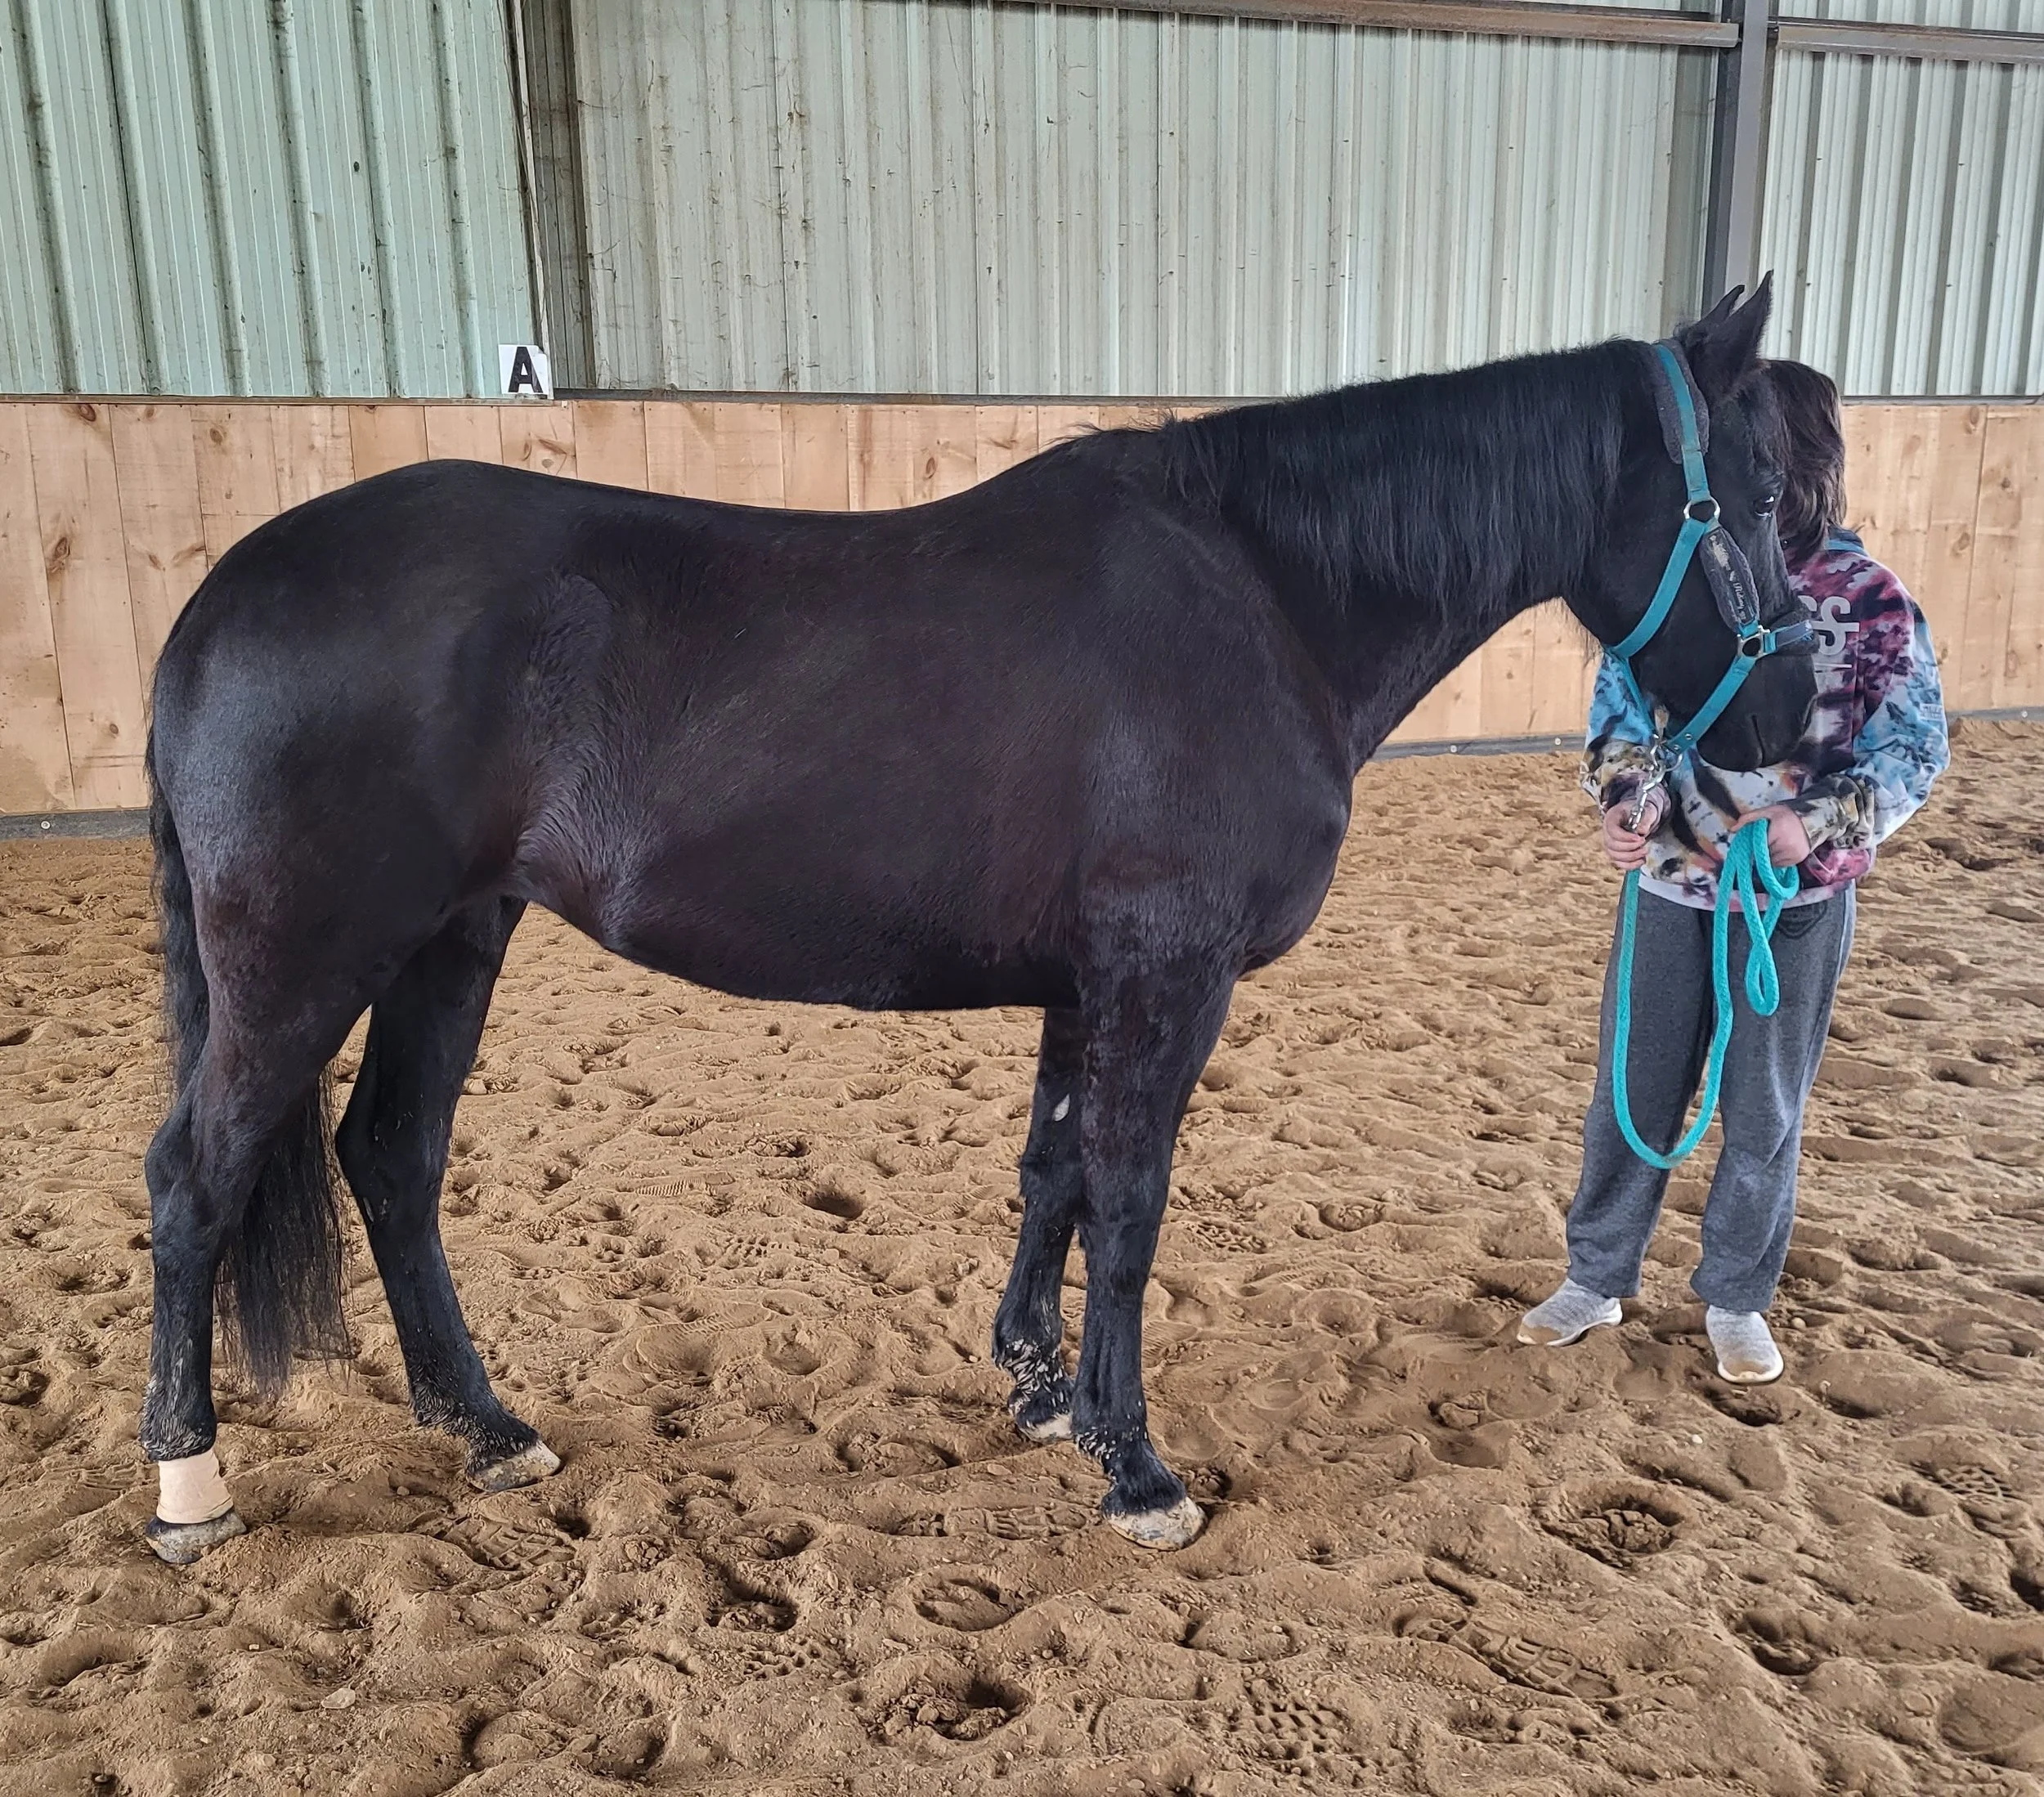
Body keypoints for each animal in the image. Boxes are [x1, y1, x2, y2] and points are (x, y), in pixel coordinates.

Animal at [137, 281, 1813, 1564]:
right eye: (1768, 495)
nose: (1798, 723)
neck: (1263, 594)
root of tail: (223, 597)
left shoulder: (1090, 981)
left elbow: (1053, 1173)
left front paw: (1041, 1391)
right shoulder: (1169, 972)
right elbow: (1130, 1203)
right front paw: (1138, 1466)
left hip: (450, 940)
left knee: (390, 1159)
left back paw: (487, 1429)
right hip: (301, 959)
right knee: (196, 1181)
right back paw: (188, 1485)